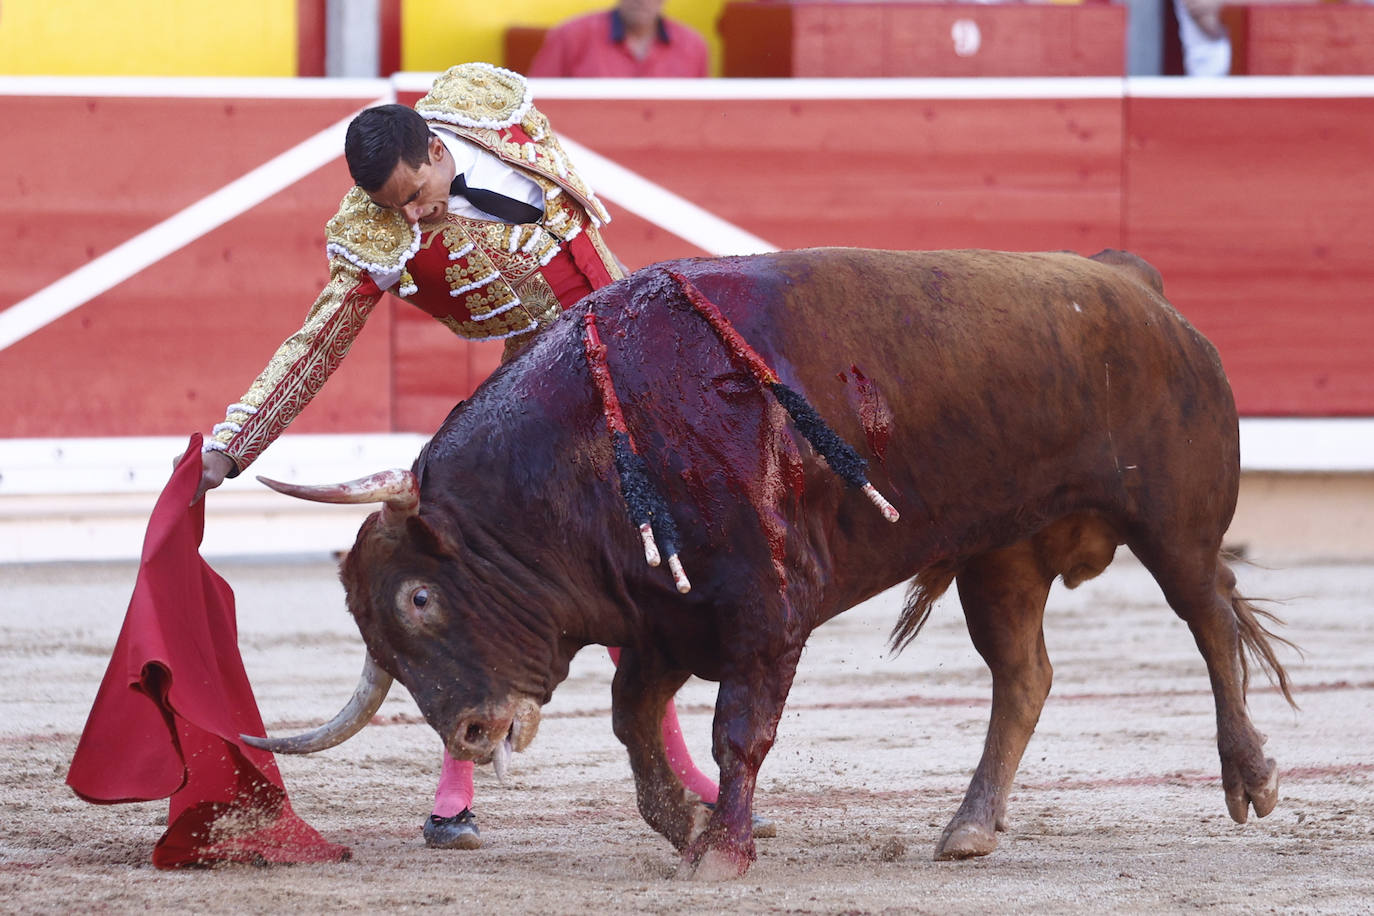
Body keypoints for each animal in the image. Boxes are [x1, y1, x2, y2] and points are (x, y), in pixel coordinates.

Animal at [250, 247, 1297, 878]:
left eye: (421, 598)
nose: (469, 731)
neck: (597, 446)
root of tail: (1133, 285)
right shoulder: (663, 620)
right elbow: (635, 721)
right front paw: (684, 827)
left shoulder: (763, 616)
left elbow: (736, 733)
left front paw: (722, 851)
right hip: (999, 556)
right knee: (1024, 676)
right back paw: (969, 828)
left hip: (1174, 523)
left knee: (1210, 621)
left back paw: (1250, 779)